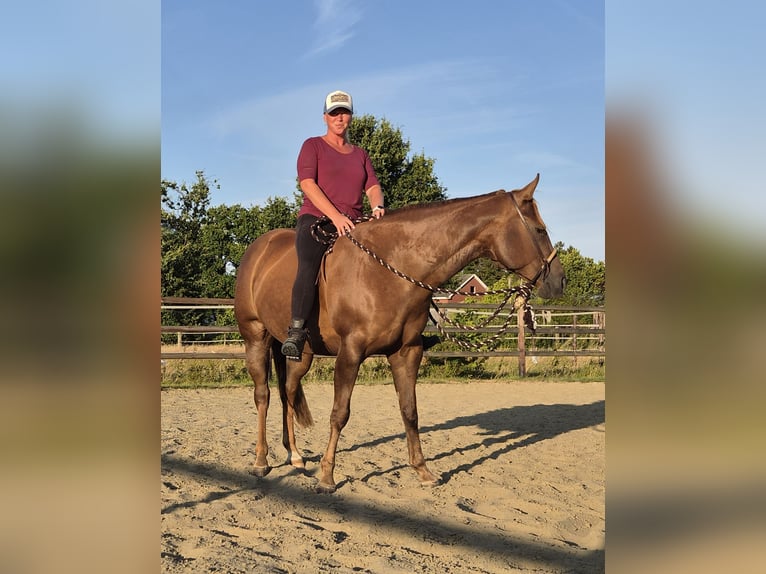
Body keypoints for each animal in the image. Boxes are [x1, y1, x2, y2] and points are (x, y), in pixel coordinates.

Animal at [234, 174, 565, 493]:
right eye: (539, 230)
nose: (559, 281)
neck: (389, 269)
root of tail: (258, 250)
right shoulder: (350, 352)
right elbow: (340, 413)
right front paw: (327, 476)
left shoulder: (406, 352)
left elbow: (410, 410)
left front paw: (423, 471)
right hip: (256, 337)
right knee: (262, 395)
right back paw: (261, 460)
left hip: (302, 353)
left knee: (287, 392)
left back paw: (295, 455)